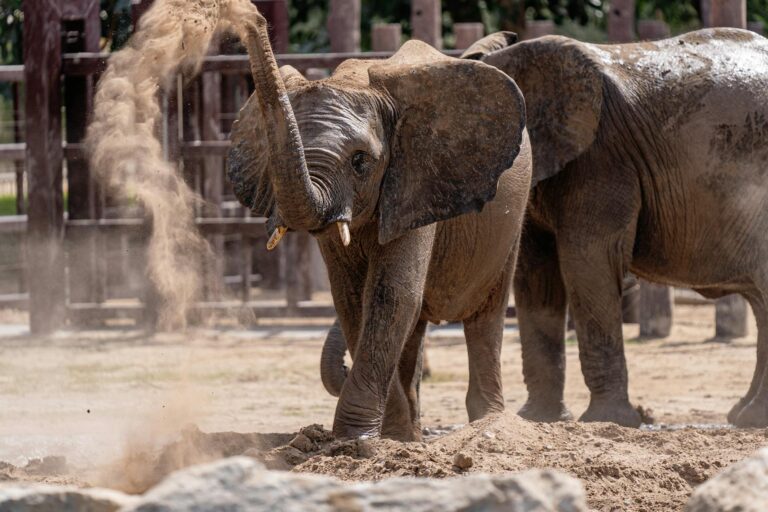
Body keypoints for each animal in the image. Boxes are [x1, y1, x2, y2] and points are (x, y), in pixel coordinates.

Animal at [225, 14, 532, 440]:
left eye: (360, 162)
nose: (253, 18)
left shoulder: (415, 180)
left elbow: (391, 294)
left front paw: (358, 441)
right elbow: (352, 299)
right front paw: (390, 439)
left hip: (510, 218)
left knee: (485, 313)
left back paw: (488, 422)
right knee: (416, 327)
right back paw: (414, 434)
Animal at [465, 28, 768, 427]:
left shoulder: (603, 157)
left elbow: (588, 262)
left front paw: (608, 421)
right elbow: (536, 275)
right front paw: (540, 421)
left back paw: (751, 418)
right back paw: (744, 416)